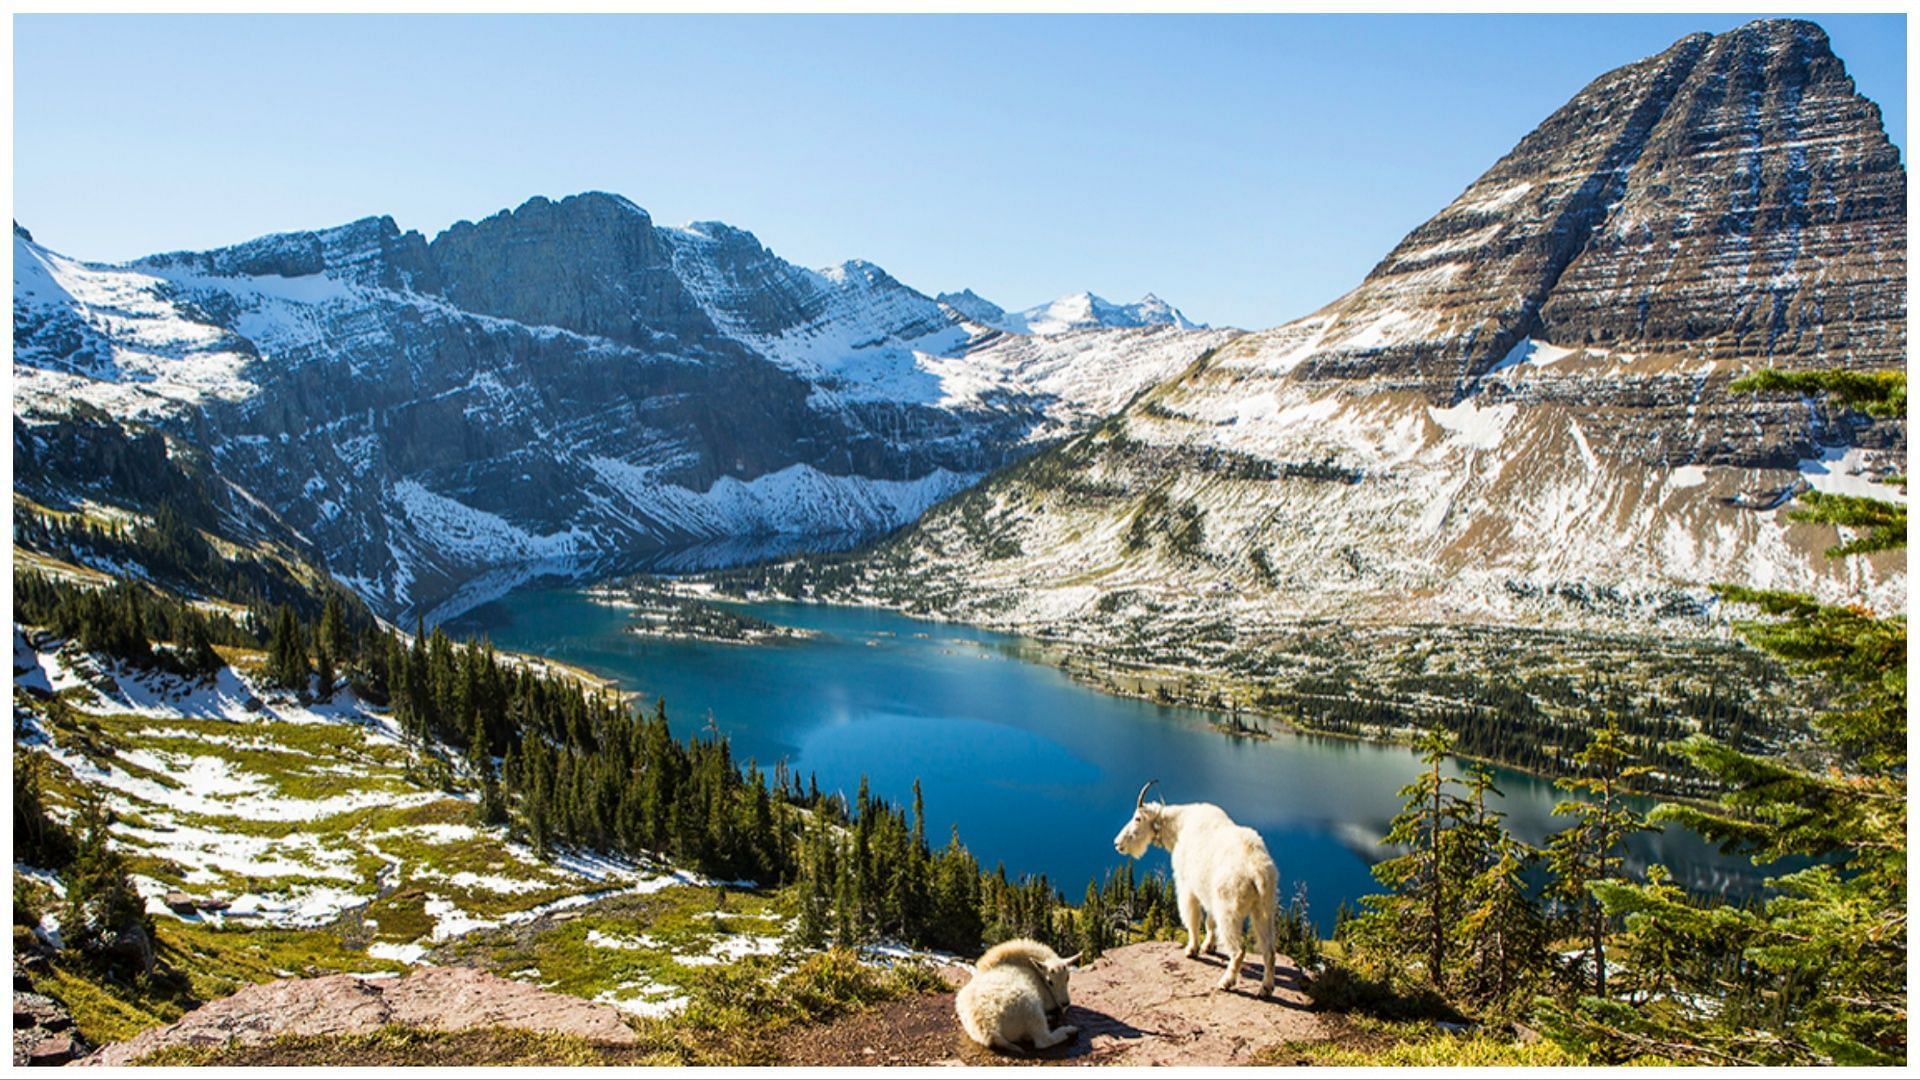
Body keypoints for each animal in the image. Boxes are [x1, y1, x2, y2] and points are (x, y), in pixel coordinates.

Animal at [1113, 772, 1274, 991]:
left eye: (1137, 818)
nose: (1117, 843)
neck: (1178, 827)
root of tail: (1257, 870)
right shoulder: (1208, 893)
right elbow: (1209, 921)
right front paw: (1209, 947)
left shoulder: (1187, 886)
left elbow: (1192, 917)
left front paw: (1192, 949)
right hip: (1264, 909)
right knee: (1269, 950)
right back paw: (1266, 988)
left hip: (1229, 909)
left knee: (1239, 950)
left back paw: (1226, 982)